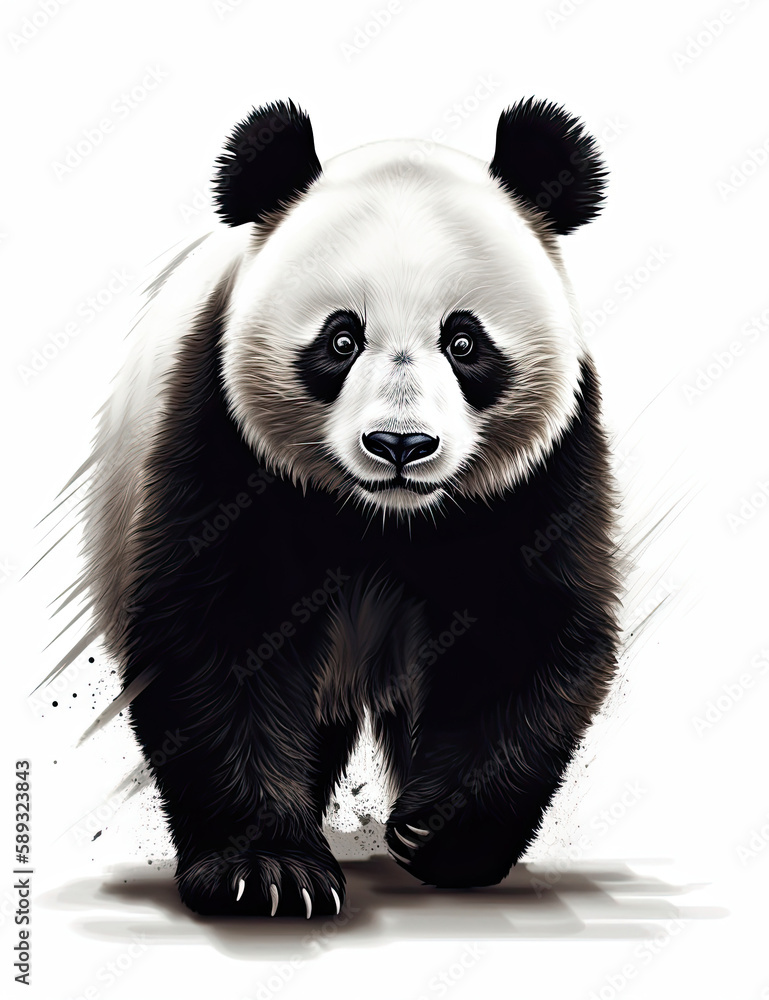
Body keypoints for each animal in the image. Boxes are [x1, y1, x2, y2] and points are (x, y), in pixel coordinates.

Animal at [70, 97, 621, 918]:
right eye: (340, 339)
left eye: (464, 342)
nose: (400, 444)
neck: (384, 517)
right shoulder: (223, 441)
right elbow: (218, 632)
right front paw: (266, 872)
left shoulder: (542, 475)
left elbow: (529, 630)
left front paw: (437, 837)